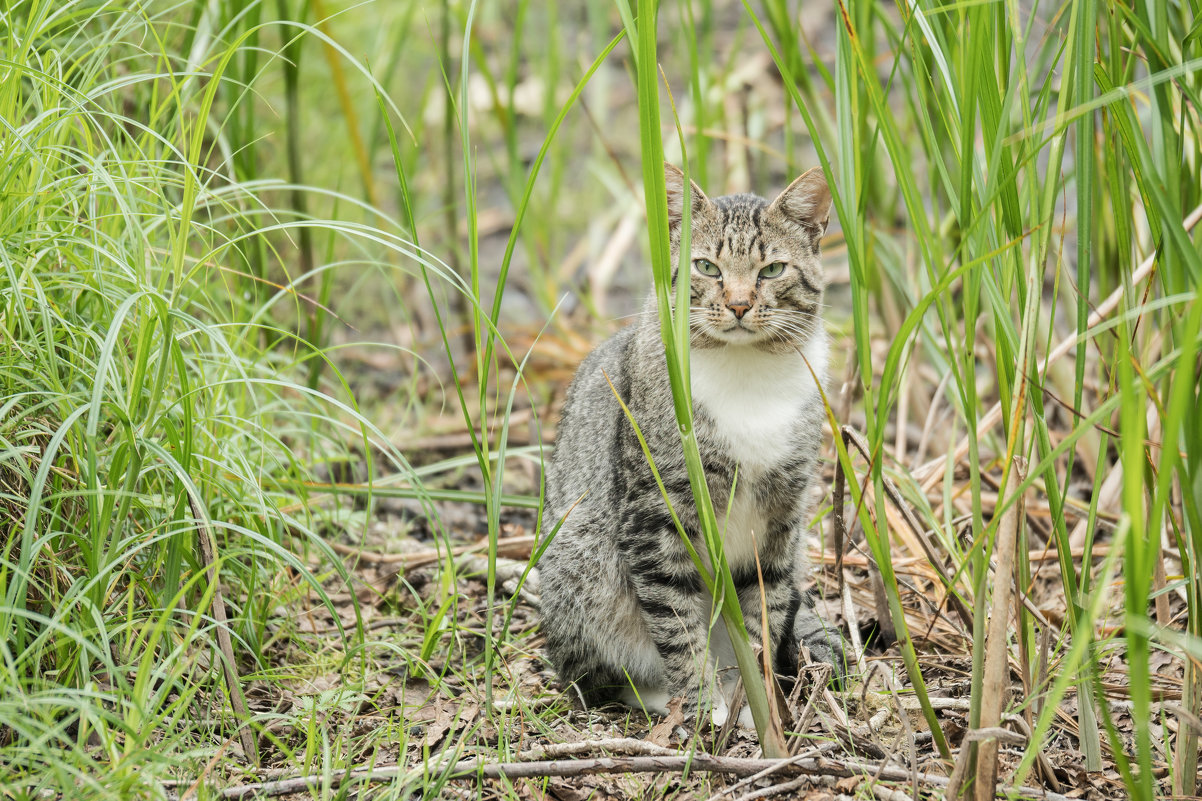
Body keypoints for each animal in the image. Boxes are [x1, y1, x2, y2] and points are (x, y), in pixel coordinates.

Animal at [538, 163, 846, 721]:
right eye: (707, 267)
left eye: (772, 270)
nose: (739, 304)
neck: (746, 373)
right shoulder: (655, 515)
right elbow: (676, 622)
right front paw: (703, 708)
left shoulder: (780, 522)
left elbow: (763, 615)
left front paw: (755, 704)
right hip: (580, 571)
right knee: (598, 674)